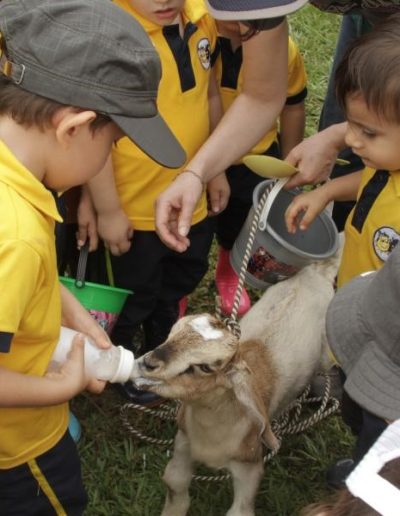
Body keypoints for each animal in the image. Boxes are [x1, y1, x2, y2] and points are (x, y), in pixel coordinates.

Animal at [130, 252, 340, 512]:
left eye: (206, 367)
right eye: (171, 333)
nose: (146, 364)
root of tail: (317, 271)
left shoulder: (250, 466)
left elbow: (239, 510)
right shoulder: (183, 442)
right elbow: (175, 482)